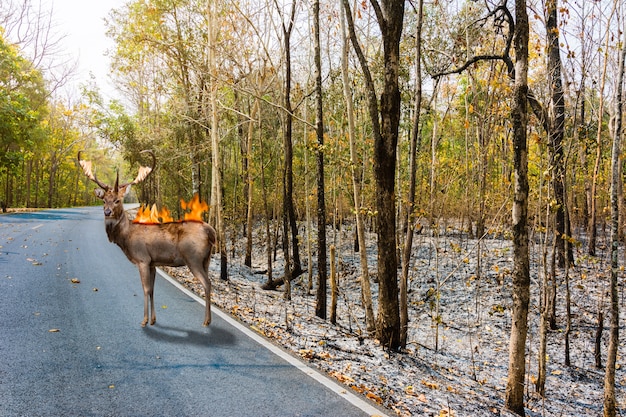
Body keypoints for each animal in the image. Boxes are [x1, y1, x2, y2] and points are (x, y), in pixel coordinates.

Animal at [77, 151, 216, 326]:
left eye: (117, 200)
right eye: (104, 200)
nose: (107, 211)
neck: (126, 237)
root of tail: (210, 231)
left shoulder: (142, 259)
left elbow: (145, 288)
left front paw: (144, 320)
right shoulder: (152, 263)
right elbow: (152, 290)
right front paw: (153, 320)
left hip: (193, 257)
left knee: (207, 283)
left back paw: (206, 321)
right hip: (206, 260)